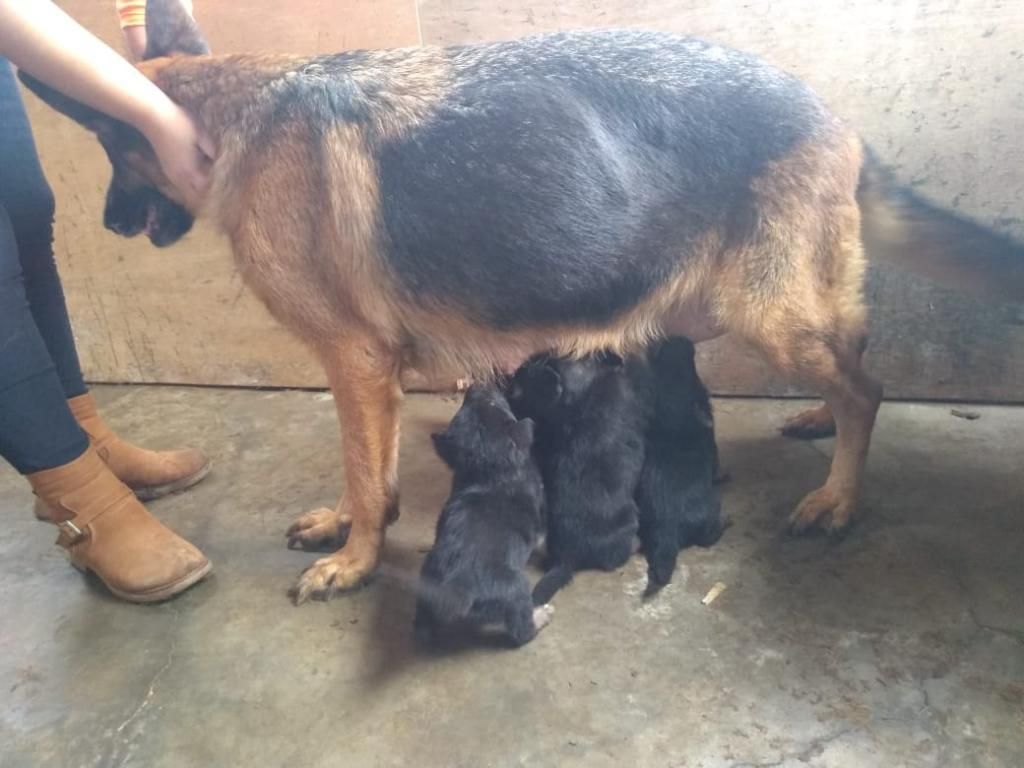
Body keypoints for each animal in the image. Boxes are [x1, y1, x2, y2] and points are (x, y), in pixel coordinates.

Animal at [411, 387, 552, 647]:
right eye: (494, 404)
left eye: (468, 406)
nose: (475, 387)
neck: (492, 471)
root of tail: (455, 592)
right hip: (516, 589)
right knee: (520, 632)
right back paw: (540, 617)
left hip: (425, 577)